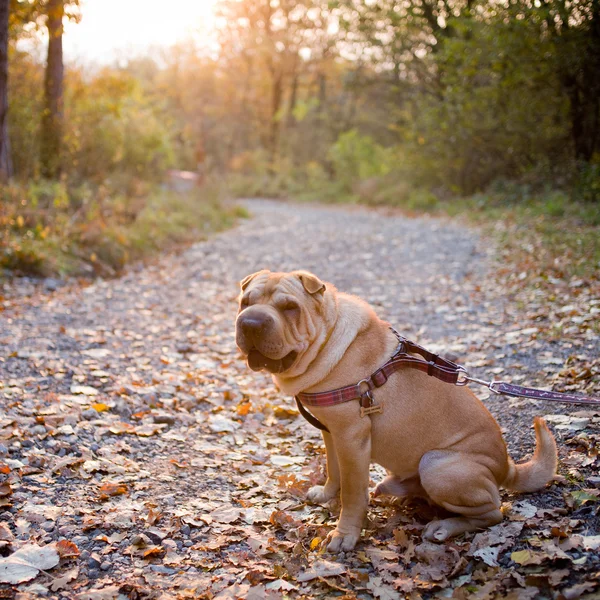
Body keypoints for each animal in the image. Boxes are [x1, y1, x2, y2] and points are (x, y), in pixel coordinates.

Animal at [234, 270, 556, 552]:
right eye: (245, 302)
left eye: (290, 308)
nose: (250, 322)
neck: (326, 342)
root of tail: (506, 466)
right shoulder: (332, 433)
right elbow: (333, 469)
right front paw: (326, 494)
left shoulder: (351, 438)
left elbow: (352, 493)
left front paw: (345, 534)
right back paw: (393, 488)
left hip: (438, 466)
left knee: (493, 511)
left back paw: (443, 527)